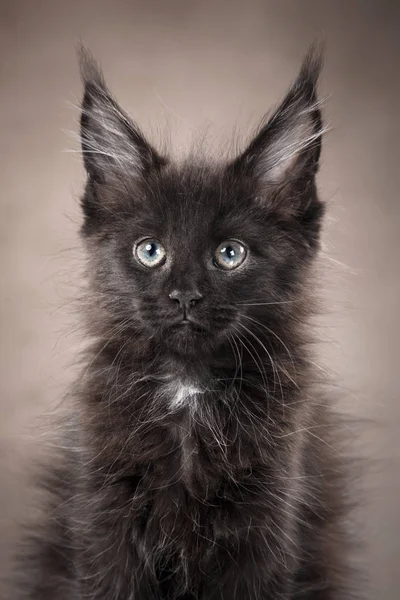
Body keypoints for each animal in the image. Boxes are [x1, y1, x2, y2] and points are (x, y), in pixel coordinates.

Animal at [11, 45, 354, 600]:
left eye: (230, 254)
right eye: (150, 251)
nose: (184, 296)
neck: (188, 388)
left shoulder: (268, 522)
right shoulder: (103, 519)